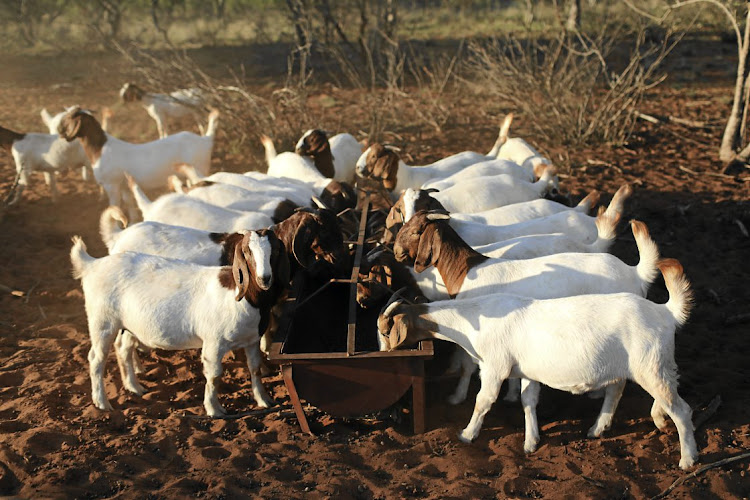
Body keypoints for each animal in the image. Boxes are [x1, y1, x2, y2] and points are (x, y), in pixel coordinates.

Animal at [72, 229, 290, 416]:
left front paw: (264, 400)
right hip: (102, 321)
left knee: (123, 348)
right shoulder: (213, 343)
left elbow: (254, 368)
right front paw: (214, 410)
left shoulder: (251, 340)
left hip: (128, 324)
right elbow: (214, 376)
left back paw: (134, 387)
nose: (264, 278)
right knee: (96, 359)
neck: (241, 295)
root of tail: (92, 265)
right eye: (247, 252)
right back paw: (102, 403)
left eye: (276, 250)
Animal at [378, 258, 704, 468]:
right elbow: (528, 401)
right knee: (619, 391)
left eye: (385, 331)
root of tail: (665, 312)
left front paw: (467, 434)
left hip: (650, 365)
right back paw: (603, 427)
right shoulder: (527, 370)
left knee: (681, 409)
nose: (383, 354)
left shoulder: (495, 367)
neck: (475, 317)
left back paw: (687, 459)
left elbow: (484, 400)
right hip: (639, 366)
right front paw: (531, 442)